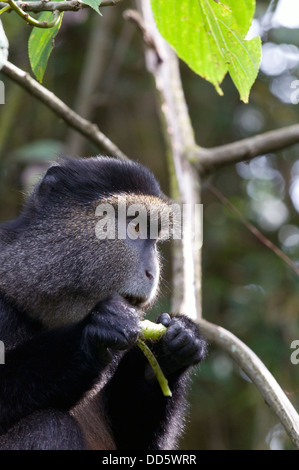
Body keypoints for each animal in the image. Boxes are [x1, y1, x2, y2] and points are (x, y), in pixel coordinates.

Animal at [0, 156, 207, 450]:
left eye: (155, 240)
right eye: (135, 226)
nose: (152, 272)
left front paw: (175, 346)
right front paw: (95, 333)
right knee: (49, 425)